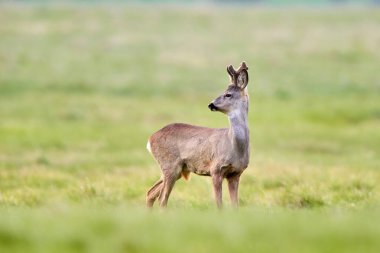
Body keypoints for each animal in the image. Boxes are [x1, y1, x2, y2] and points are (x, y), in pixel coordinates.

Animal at [145, 61, 249, 208]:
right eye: (223, 92)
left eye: (228, 94)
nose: (211, 104)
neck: (234, 146)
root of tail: (150, 139)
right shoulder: (215, 169)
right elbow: (219, 203)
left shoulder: (236, 173)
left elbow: (235, 205)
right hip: (170, 165)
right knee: (162, 199)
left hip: (176, 169)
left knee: (151, 193)